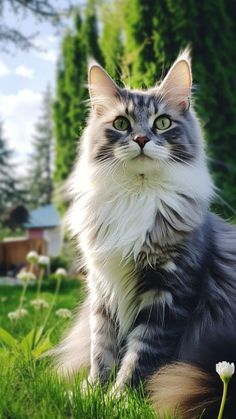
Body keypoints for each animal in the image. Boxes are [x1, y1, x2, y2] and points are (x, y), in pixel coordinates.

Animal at [53, 52, 236, 419]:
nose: (140, 139)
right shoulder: (103, 290)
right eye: (121, 124)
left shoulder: (167, 295)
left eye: (162, 123)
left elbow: (139, 356)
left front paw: (119, 401)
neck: (136, 194)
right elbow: (101, 351)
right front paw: (91, 395)